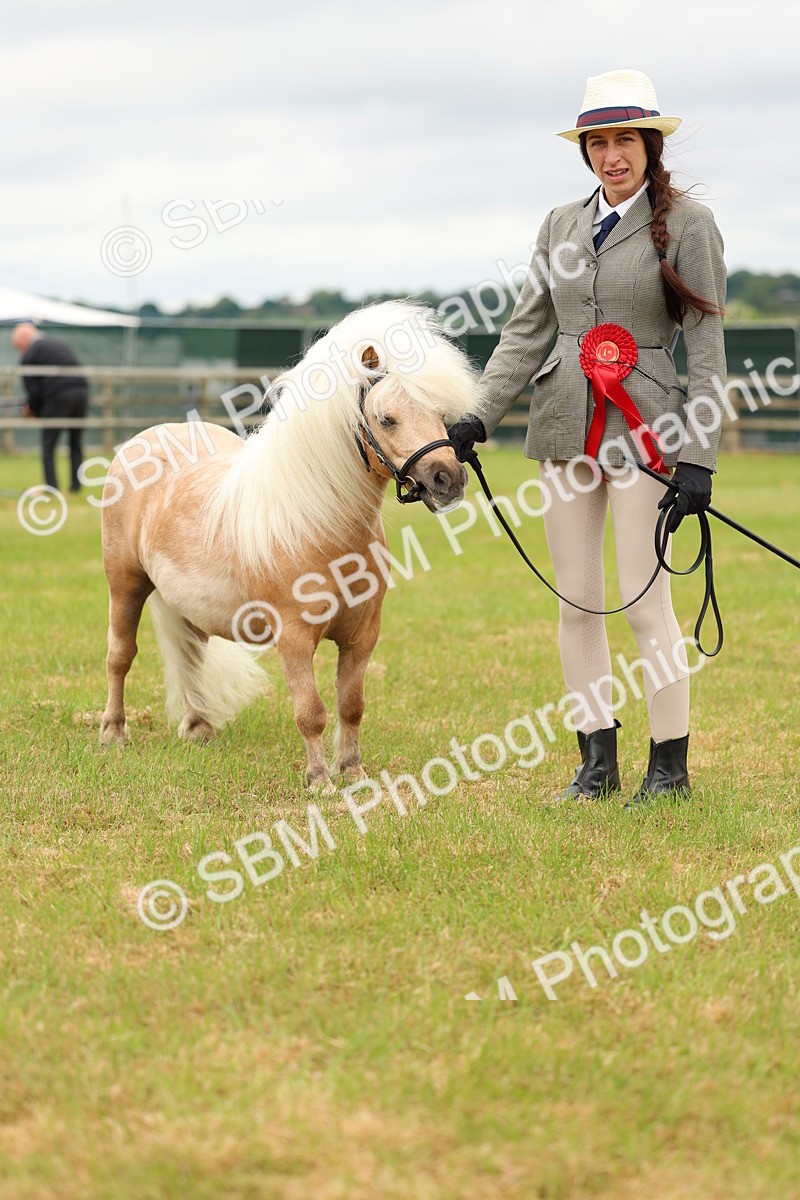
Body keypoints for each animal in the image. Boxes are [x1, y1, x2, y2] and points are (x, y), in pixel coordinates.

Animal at [99, 301, 480, 789]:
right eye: (387, 418)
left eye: (439, 413)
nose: (448, 480)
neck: (321, 526)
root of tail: (141, 442)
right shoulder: (294, 638)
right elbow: (310, 710)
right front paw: (319, 778)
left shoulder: (363, 635)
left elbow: (351, 704)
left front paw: (352, 771)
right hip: (125, 584)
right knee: (120, 655)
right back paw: (113, 732)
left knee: (191, 655)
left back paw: (199, 727)